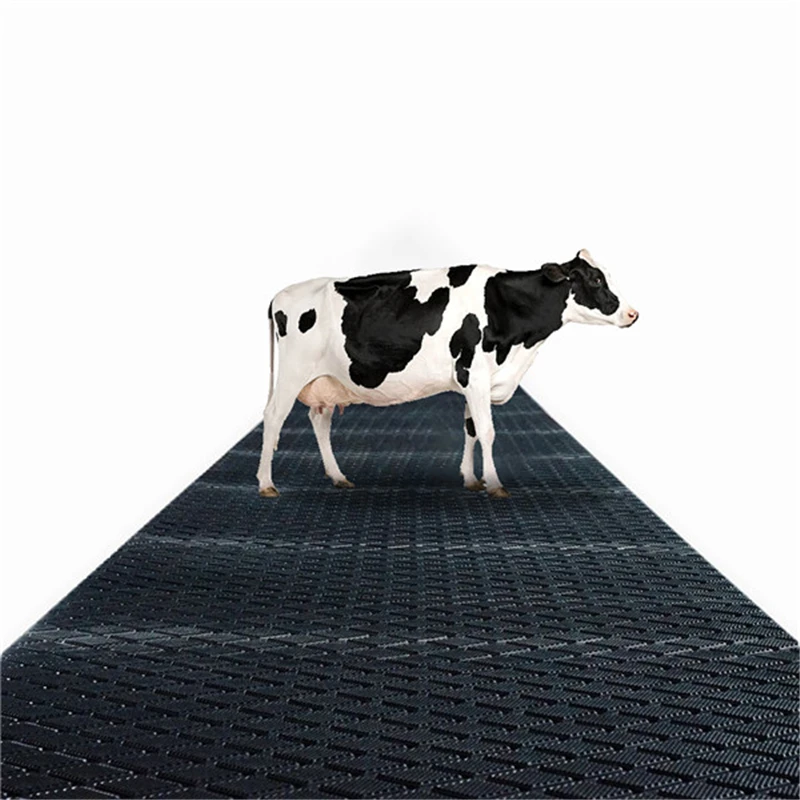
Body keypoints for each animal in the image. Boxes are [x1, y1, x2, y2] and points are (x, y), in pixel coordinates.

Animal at [256, 249, 638, 498]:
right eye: (594, 279)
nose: (632, 314)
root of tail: (280, 294)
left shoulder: (474, 381)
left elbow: (471, 430)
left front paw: (471, 479)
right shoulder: (475, 374)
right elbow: (487, 432)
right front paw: (495, 484)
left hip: (326, 381)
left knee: (319, 420)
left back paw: (338, 477)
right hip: (292, 373)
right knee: (274, 417)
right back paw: (266, 483)